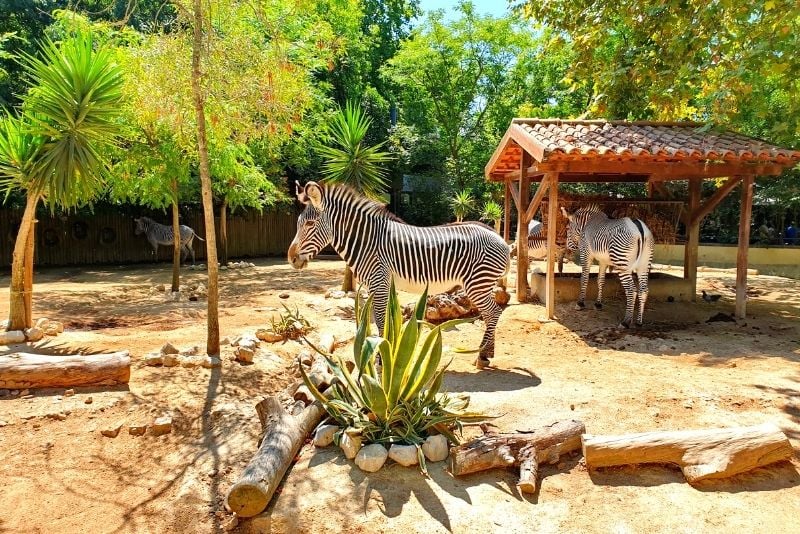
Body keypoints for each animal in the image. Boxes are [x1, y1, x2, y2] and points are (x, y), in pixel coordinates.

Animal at [290, 182, 510, 370]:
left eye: (309, 224)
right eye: (299, 223)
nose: (291, 258)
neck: (367, 241)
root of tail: (500, 238)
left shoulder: (378, 281)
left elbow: (380, 321)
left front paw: (381, 359)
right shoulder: (383, 285)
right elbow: (386, 320)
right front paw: (389, 351)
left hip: (477, 283)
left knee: (493, 312)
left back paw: (482, 355)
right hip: (482, 284)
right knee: (492, 313)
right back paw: (488, 353)